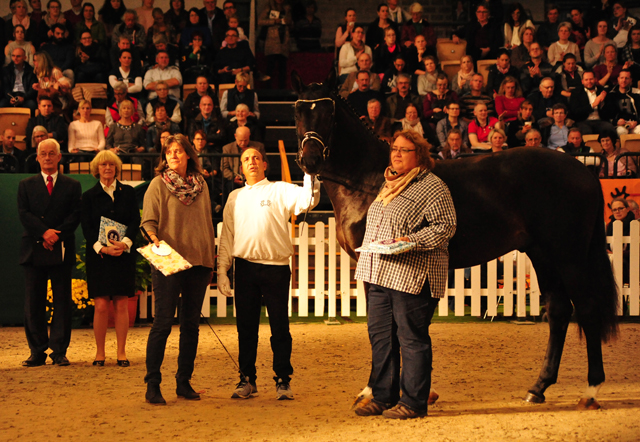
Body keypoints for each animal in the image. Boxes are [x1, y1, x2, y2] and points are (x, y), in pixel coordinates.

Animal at [292, 70, 616, 410]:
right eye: (298, 110)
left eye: (328, 112)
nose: (310, 159)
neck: (369, 179)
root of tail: (584, 171)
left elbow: (385, 327)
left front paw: (374, 391)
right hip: (543, 256)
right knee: (559, 311)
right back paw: (538, 388)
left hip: (569, 257)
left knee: (587, 309)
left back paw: (590, 391)